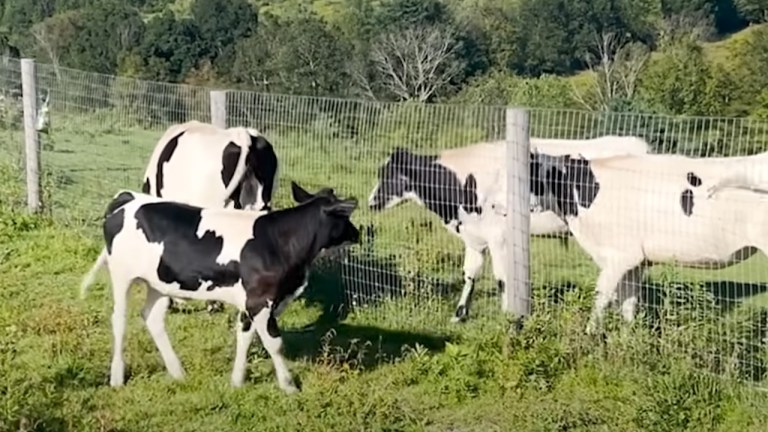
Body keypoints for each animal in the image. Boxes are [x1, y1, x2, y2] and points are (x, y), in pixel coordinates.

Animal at [79, 181, 362, 394]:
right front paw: (289, 385)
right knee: (119, 320)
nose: (357, 233)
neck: (278, 241)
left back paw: (178, 372)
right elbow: (274, 343)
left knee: (152, 317)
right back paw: (117, 377)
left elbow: (245, 337)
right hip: (122, 274)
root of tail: (127, 197)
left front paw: (237, 381)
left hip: (159, 282)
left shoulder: (253, 302)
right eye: (345, 215)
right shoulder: (260, 300)